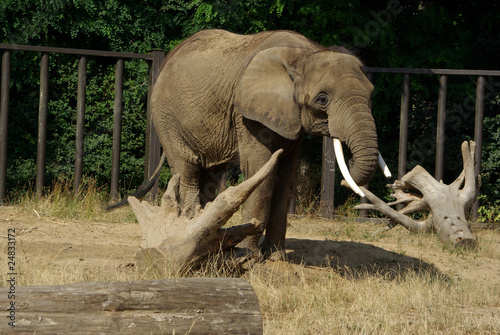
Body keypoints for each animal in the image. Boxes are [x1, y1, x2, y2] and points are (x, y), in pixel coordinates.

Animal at [119, 30, 388, 258]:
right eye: (323, 99)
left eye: (371, 94)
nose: (349, 161)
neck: (305, 54)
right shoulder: (247, 115)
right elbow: (261, 174)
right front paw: (251, 256)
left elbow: (284, 180)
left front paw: (277, 258)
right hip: (166, 116)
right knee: (188, 170)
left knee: (210, 175)